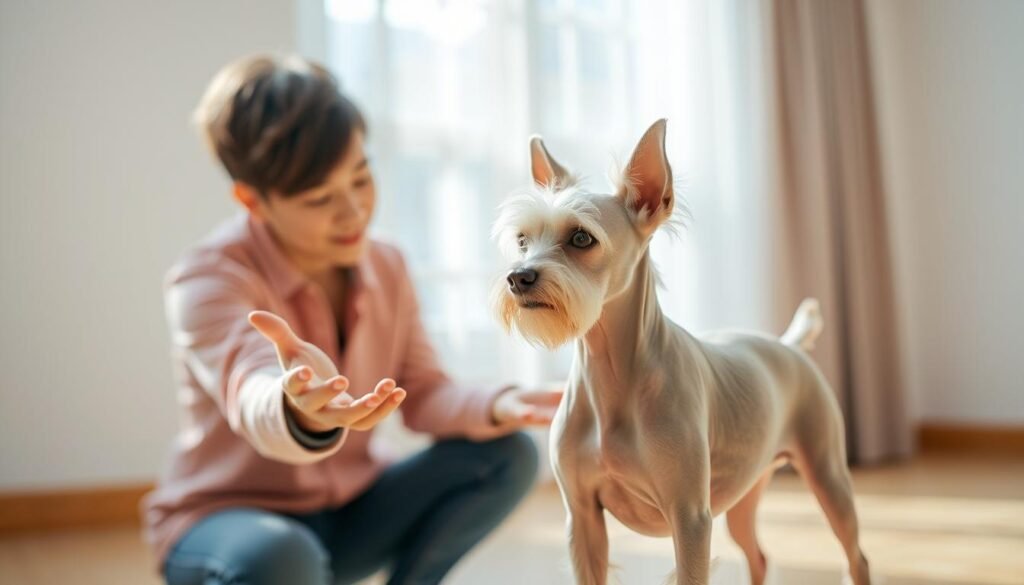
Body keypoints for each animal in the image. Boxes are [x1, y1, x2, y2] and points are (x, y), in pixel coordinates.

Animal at [489, 120, 872, 585]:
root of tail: (788, 345)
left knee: (856, 558)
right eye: (522, 240)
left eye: (581, 237)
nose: (518, 277)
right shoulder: (582, 521)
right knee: (759, 557)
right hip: (744, 493)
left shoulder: (689, 519)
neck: (613, 374)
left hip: (829, 476)